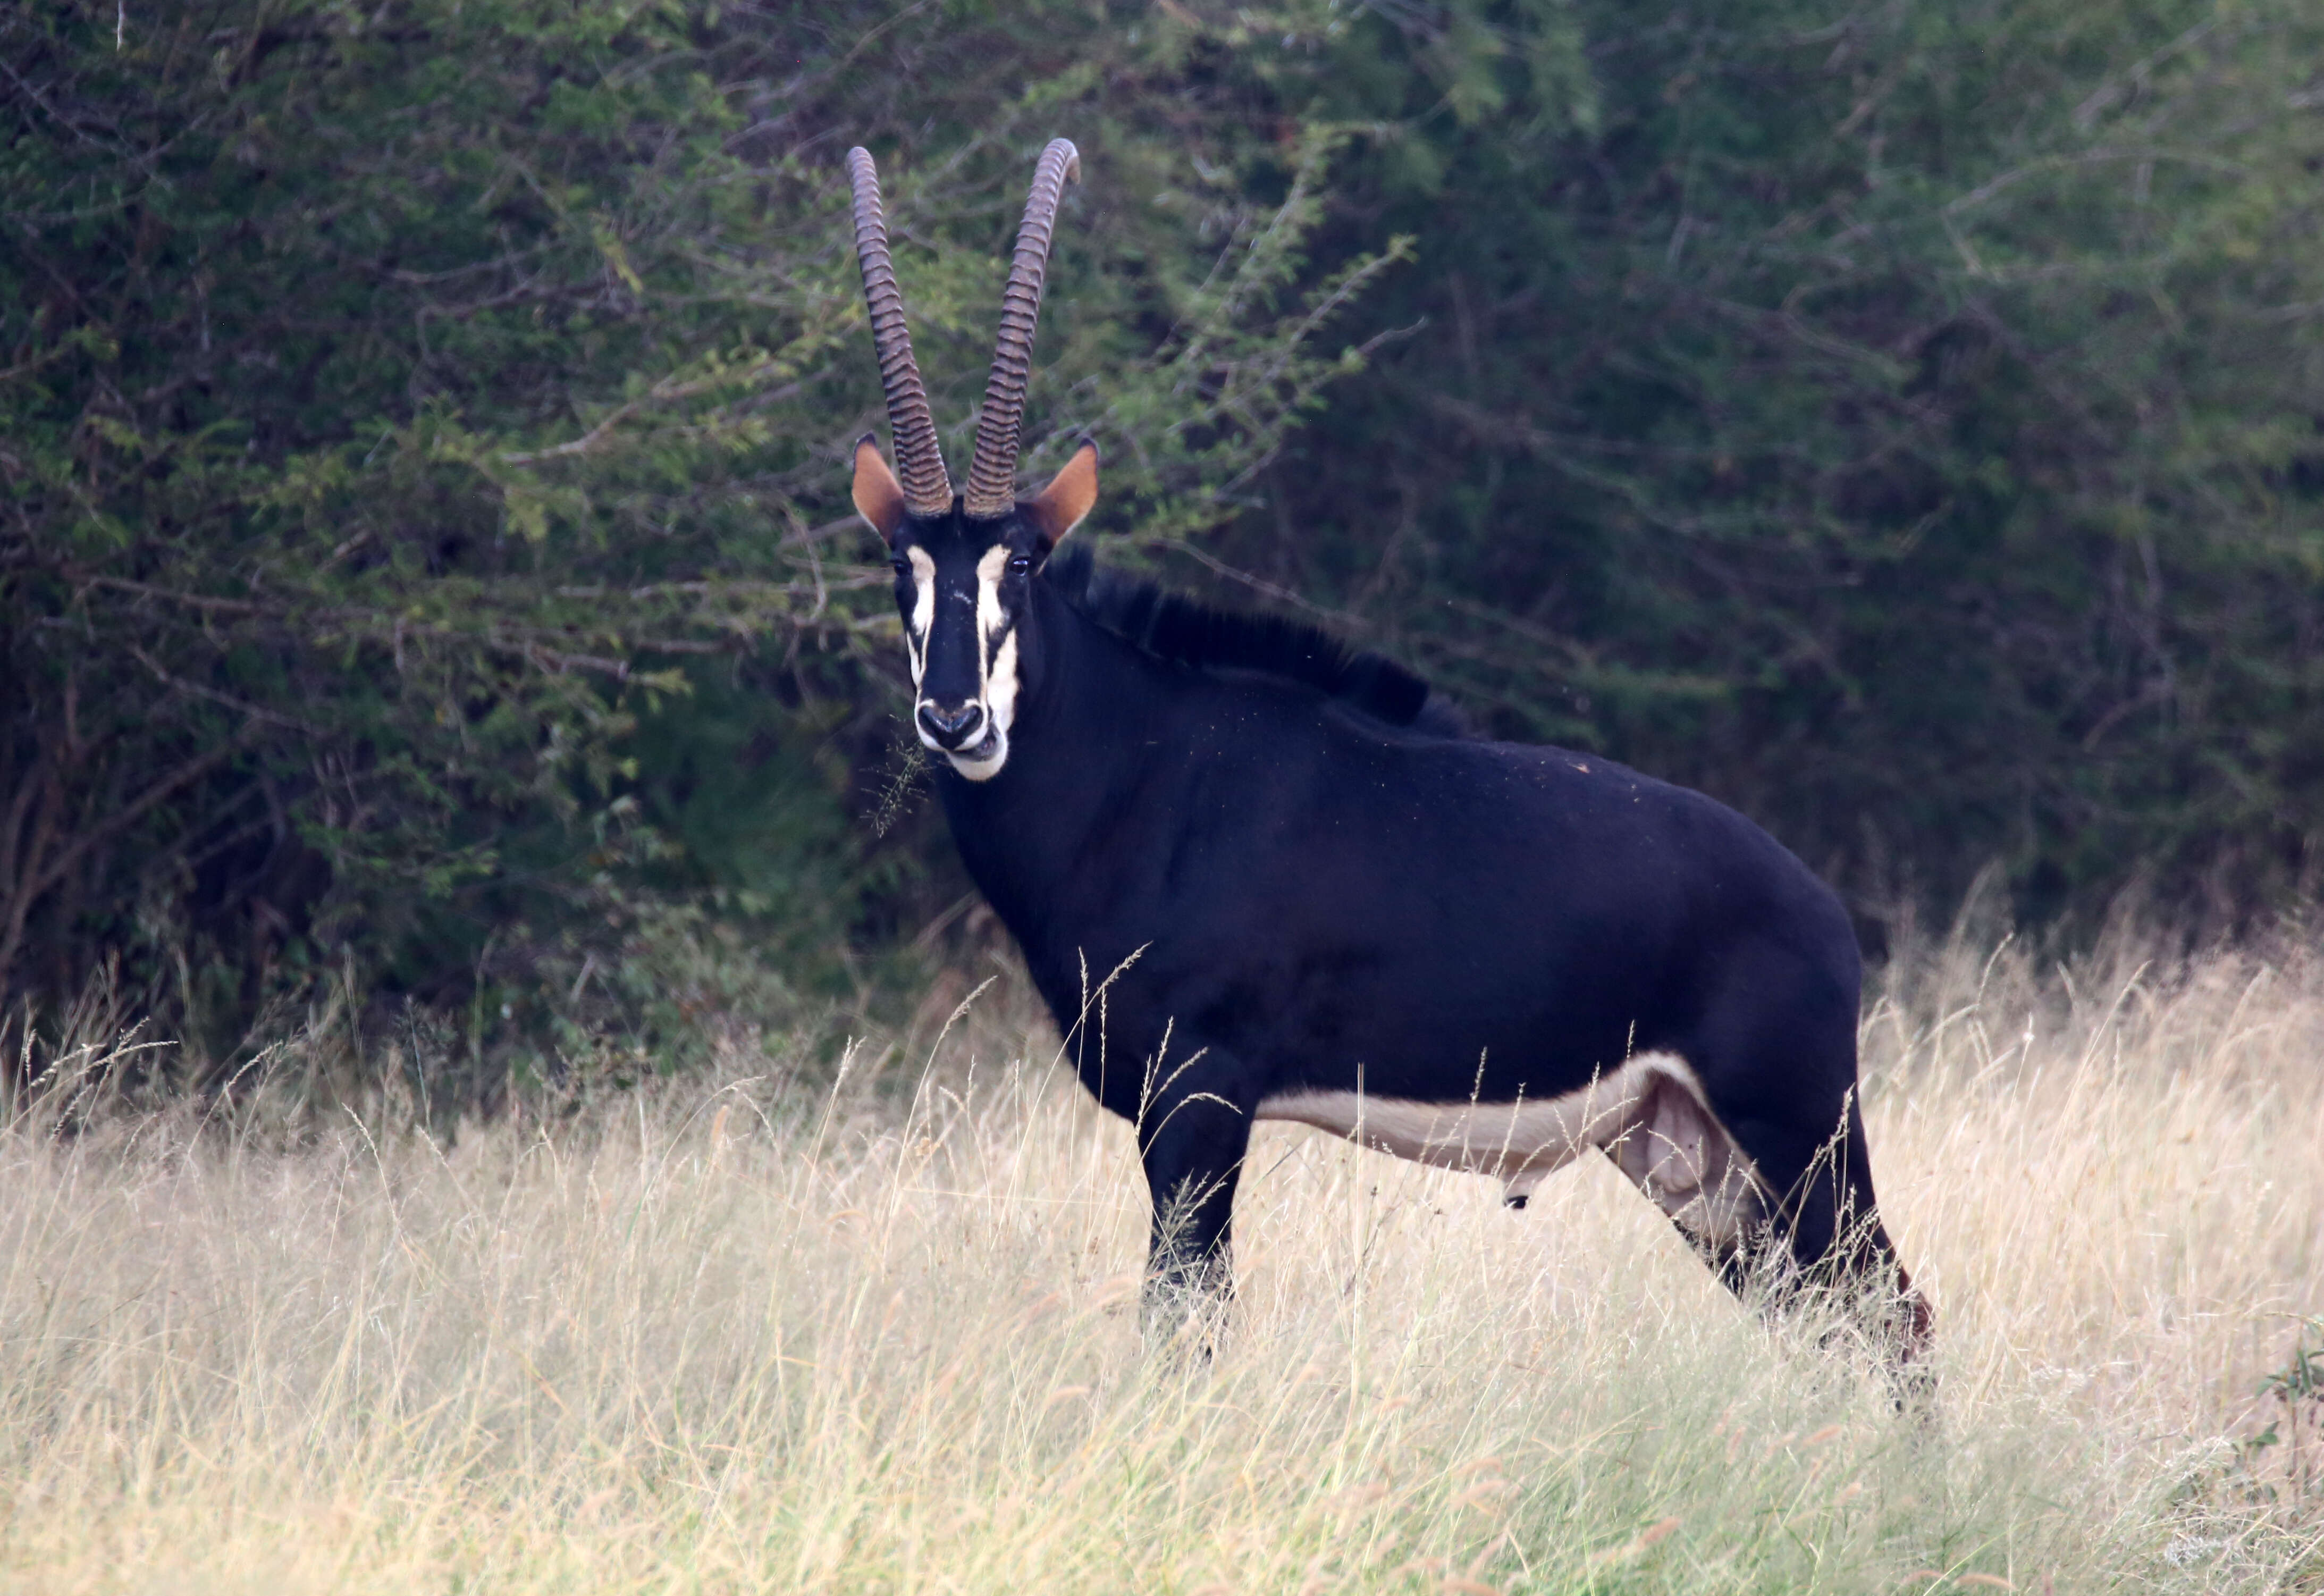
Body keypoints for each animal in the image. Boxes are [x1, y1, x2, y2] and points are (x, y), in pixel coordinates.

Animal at [846, 140, 1933, 1375]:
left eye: (1021, 563)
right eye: (901, 564)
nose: (953, 719)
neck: (1135, 770)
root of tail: (1823, 913)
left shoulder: (1199, 1102)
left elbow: (1187, 1317)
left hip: (1796, 1131)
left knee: (1896, 1314)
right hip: (1692, 1165)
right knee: (1828, 1318)